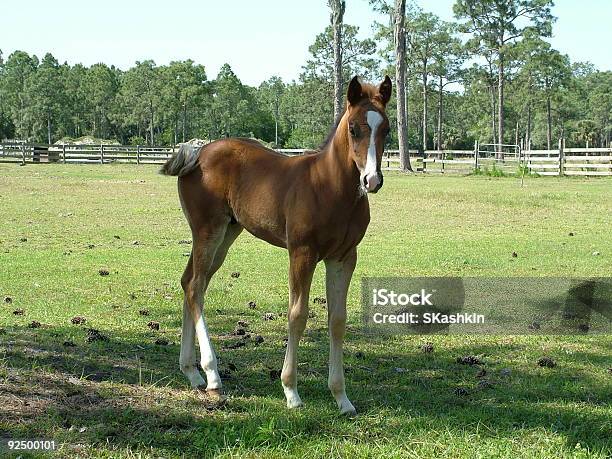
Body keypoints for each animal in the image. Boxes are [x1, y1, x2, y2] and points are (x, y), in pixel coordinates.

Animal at [161, 74, 392, 414]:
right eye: (353, 128)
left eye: (386, 129)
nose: (372, 180)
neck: (328, 188)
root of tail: (198, 153)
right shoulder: (302, 253)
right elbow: (297, 315)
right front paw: (291, 391)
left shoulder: (344, 257)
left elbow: (337, 320)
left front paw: (342, 398)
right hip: (208, 230)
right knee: (194, 285)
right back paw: (213, 375)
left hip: (227, 233)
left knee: (191, 281)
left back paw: (192, 372)